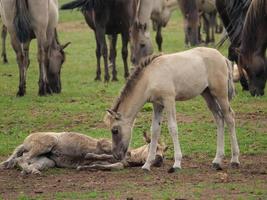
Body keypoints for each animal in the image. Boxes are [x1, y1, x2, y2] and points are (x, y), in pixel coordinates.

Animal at [0, 131, 168, 173]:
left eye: (165, 152)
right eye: (153, 146)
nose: (160, 159)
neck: (132, 157)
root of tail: (25, 141)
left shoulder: (119, 164)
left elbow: (111, 164)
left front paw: (86, 166)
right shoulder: (104, 144)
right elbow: (100, 154)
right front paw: (88, 158)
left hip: (47, 161)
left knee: (22, 161)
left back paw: (31, 171)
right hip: (46, 143)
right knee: (21, 158)